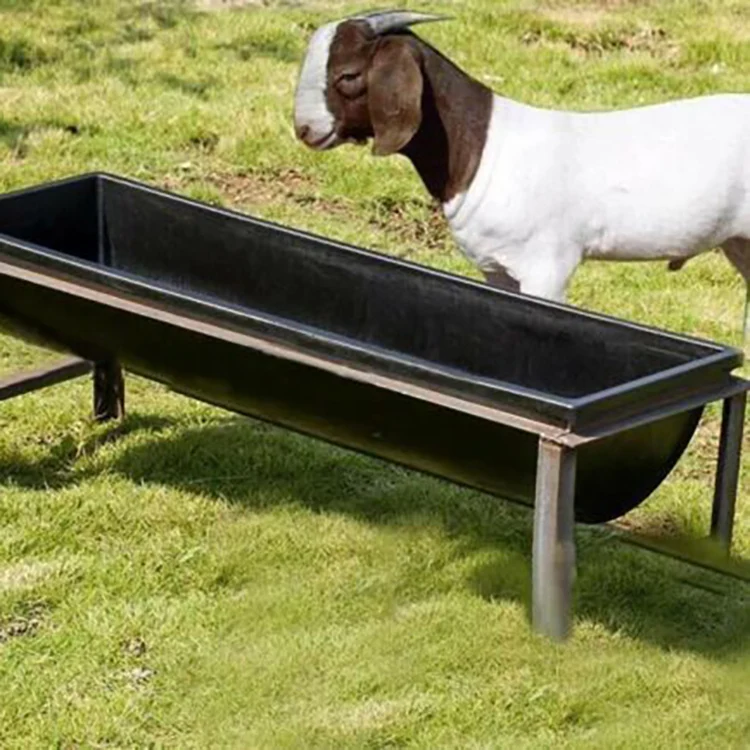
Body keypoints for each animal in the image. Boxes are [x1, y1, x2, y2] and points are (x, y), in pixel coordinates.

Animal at [293, 10, 750, 350]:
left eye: (349, 76)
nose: (304, 129)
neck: (482, 148)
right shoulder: (497, 269)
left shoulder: (547, 266)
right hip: (739, 244)